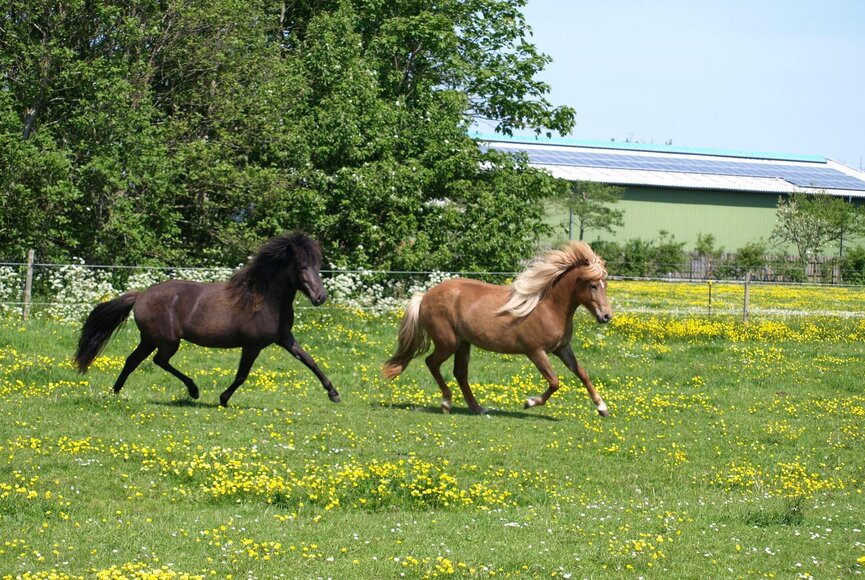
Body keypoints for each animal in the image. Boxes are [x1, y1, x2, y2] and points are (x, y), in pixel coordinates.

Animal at [74, 232, 341, 407]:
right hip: (167, 341)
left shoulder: (284, 338)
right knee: (159, 361)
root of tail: (141, 295)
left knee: (133, 361)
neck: (263, 300)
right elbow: (242, 375)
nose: (320, 297)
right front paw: (223, 399)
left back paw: (114, 392)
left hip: (149, 339)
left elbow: (310, 361)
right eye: (302, 266)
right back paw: (193, 390)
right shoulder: (252, 346)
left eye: (318, 265)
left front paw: (333, 393)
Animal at [382, 241, 612, 416]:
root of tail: (425, 297)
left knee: (460, 373)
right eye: (592, 285)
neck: (548, 307)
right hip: (448, 342)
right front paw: (529, 402)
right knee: (432, 363)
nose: (606, 316)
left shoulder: (562, 348)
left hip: (464, 343)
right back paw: (446, 402)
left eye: (605, 284)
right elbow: (555, 382)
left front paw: (602, 407)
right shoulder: (536, 351)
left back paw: (478, 408)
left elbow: (582, 373)